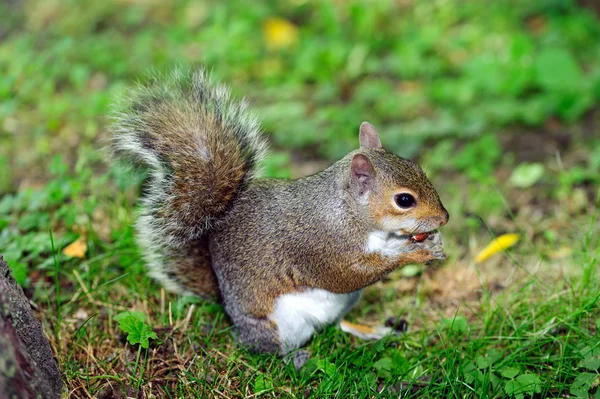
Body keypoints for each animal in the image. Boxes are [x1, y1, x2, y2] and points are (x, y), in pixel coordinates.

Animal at [110, 68, 448, 368]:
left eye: (417, 167)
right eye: (404, 200)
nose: (444, 218)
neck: (351, 214)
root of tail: (224, 301)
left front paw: (429, 243)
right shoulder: (321, 246)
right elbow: (348, 274)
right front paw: (415, 254)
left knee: (338, 325)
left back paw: (374, 331)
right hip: (275, 324)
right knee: (266, 349)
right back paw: (294, 358)